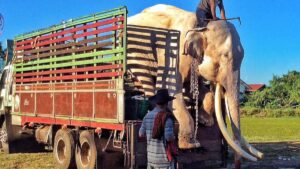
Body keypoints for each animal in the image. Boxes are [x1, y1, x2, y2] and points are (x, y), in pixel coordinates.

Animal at [126, 3, 262, 162]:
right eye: (224, 56)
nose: (261, 156)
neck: (200, 27)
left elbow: (195, 88)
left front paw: (206, 121)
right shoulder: (174, 51)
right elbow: (170, 87)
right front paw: (191, 145)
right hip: (136, 54)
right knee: (146, 78)